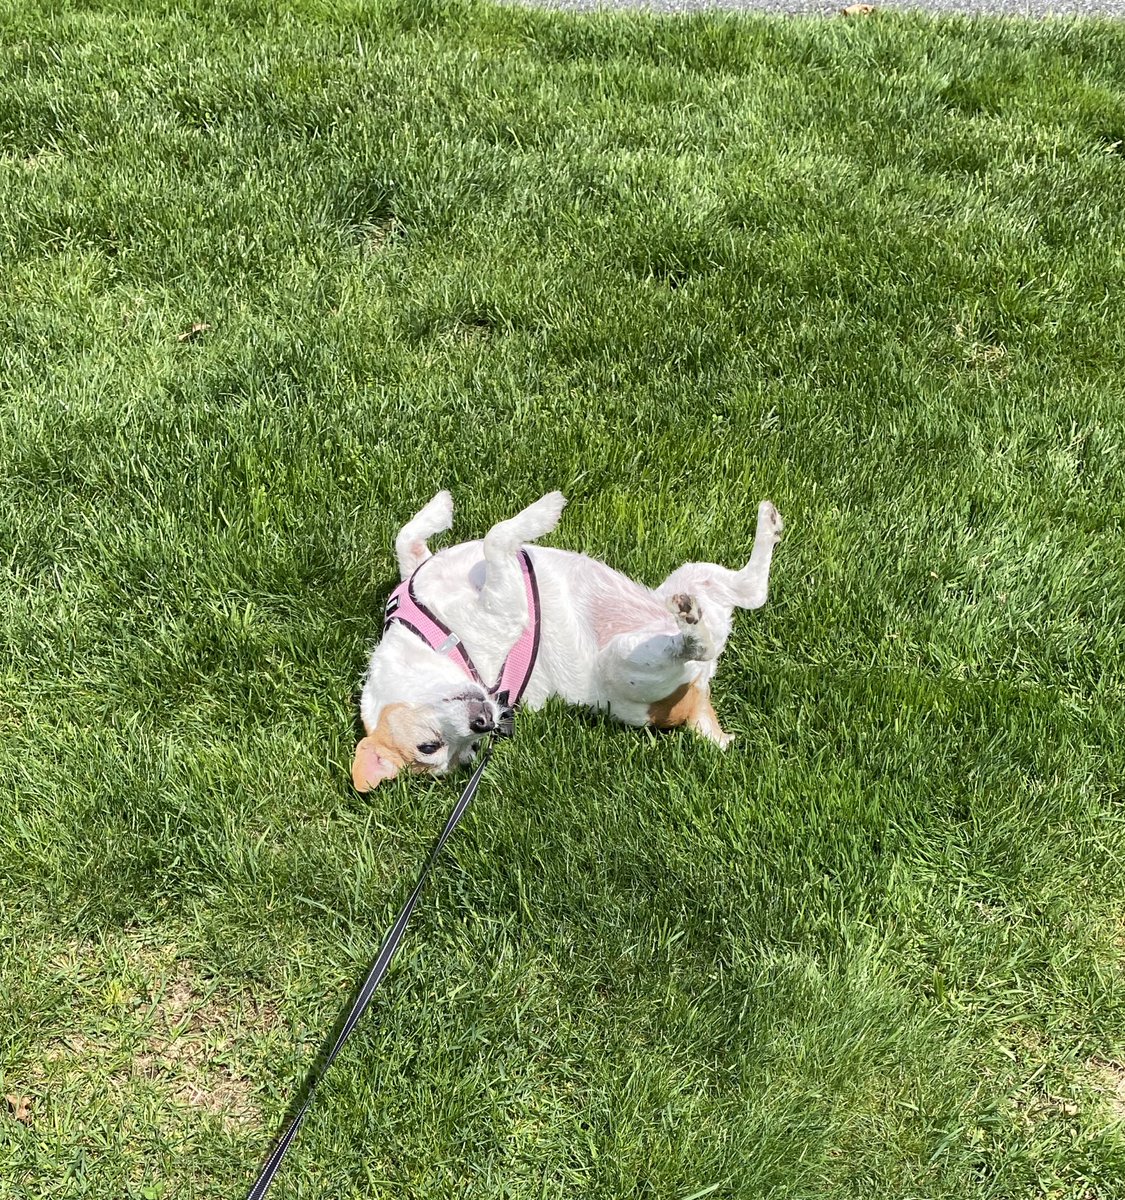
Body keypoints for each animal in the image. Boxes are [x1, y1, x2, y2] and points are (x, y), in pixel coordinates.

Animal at [350, 487, 781, 787]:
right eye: (435, 748)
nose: (484, 724)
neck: (434, 639)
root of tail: (696, 703)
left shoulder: (418, 568)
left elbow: (407, 537)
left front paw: (440, 507)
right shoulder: (505, 610)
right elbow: (496, 537)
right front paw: (544, 511)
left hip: (691, 577)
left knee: (752, 591)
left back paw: (768, 526)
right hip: (627, 663)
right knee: (701, 642)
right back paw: (692, 627)